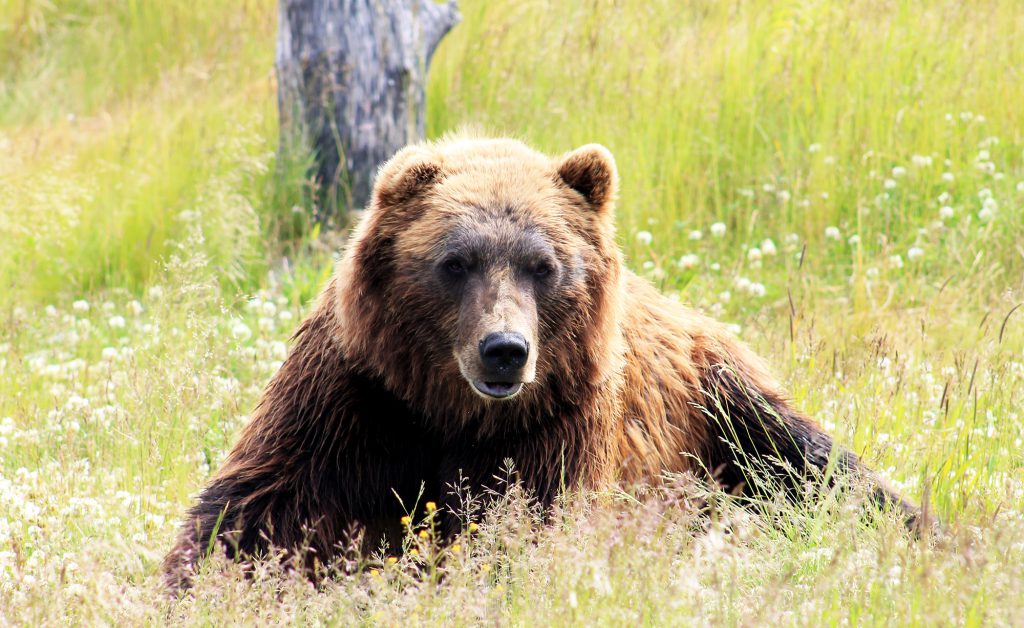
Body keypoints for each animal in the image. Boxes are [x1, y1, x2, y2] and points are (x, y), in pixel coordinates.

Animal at [165, 136, 921, 585]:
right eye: (455, 261)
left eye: (544, 265)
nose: (505, 350)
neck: (451, 413)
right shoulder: (358, 398)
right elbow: (258, 509)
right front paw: (199, 579)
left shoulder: (556, 423)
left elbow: (522, 529)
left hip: (722, 407)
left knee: (819, 469)